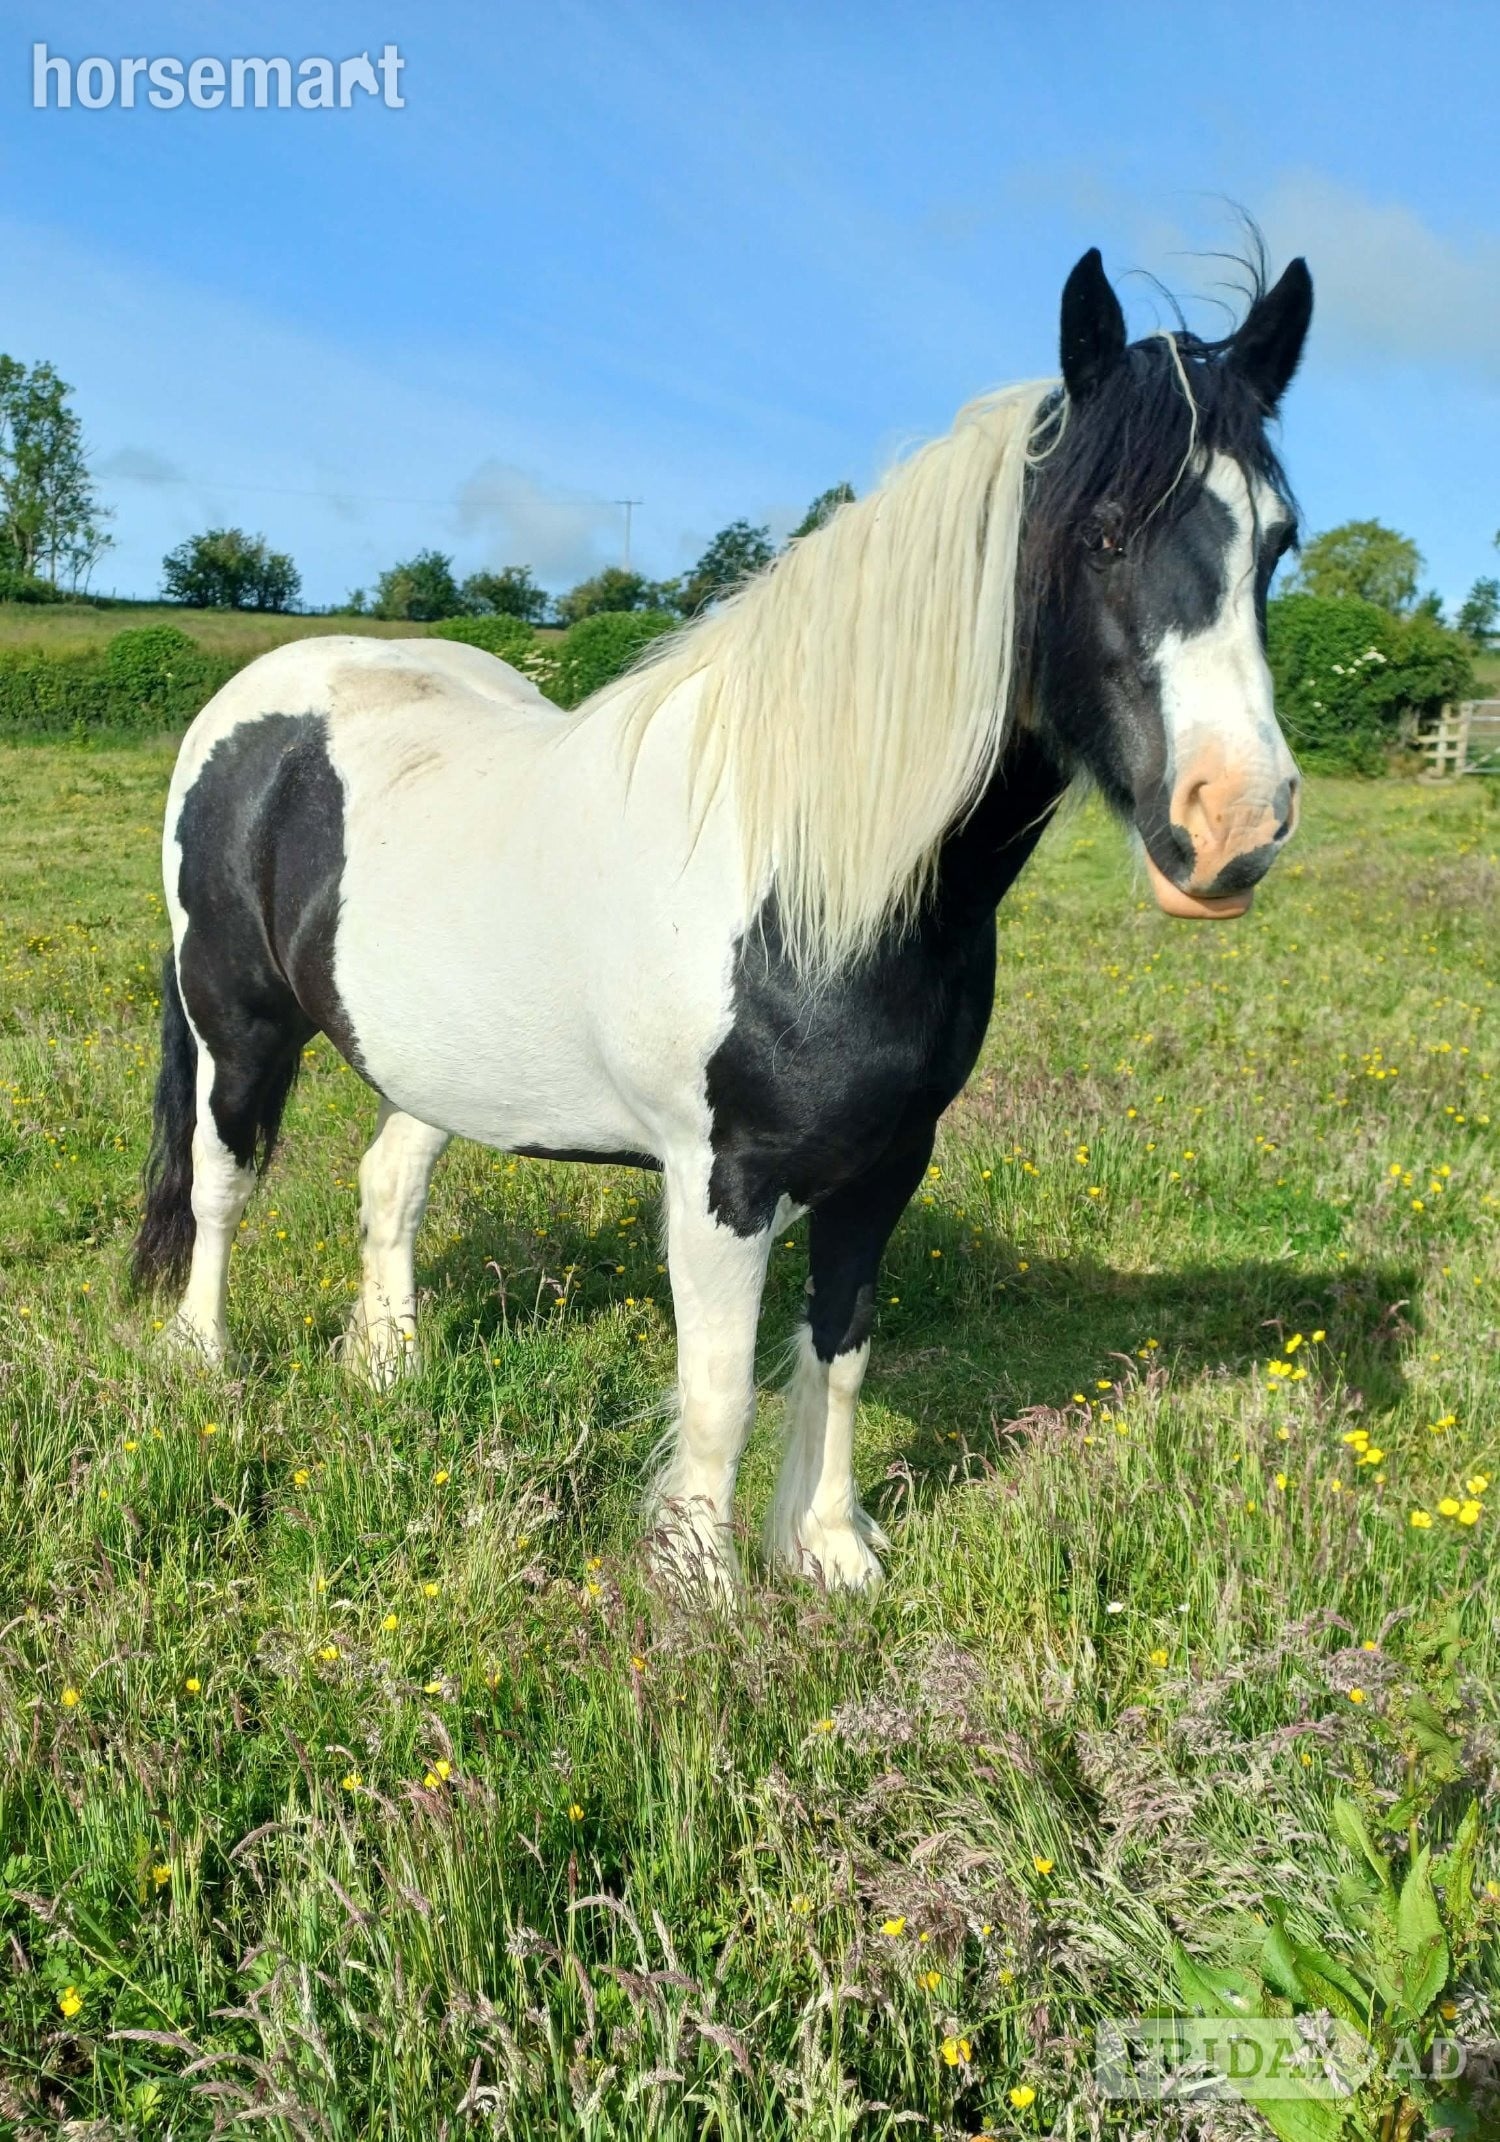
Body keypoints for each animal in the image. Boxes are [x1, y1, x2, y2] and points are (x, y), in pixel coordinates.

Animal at [133, 244, 1312, 1595]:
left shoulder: (890, 1164)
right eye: (1102, 531)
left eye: (1277, 543)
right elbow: (718, 1389)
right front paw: (696, 1581)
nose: (1236, 824)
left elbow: (839, 1355)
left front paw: (829, 1550)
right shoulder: (722, 1181)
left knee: (389, 1181)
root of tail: (257, 701)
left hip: (425, 1053)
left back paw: (387, 1364)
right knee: (219, 1188)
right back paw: (203, 1367)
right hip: (236, 1027)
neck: (807, 877)